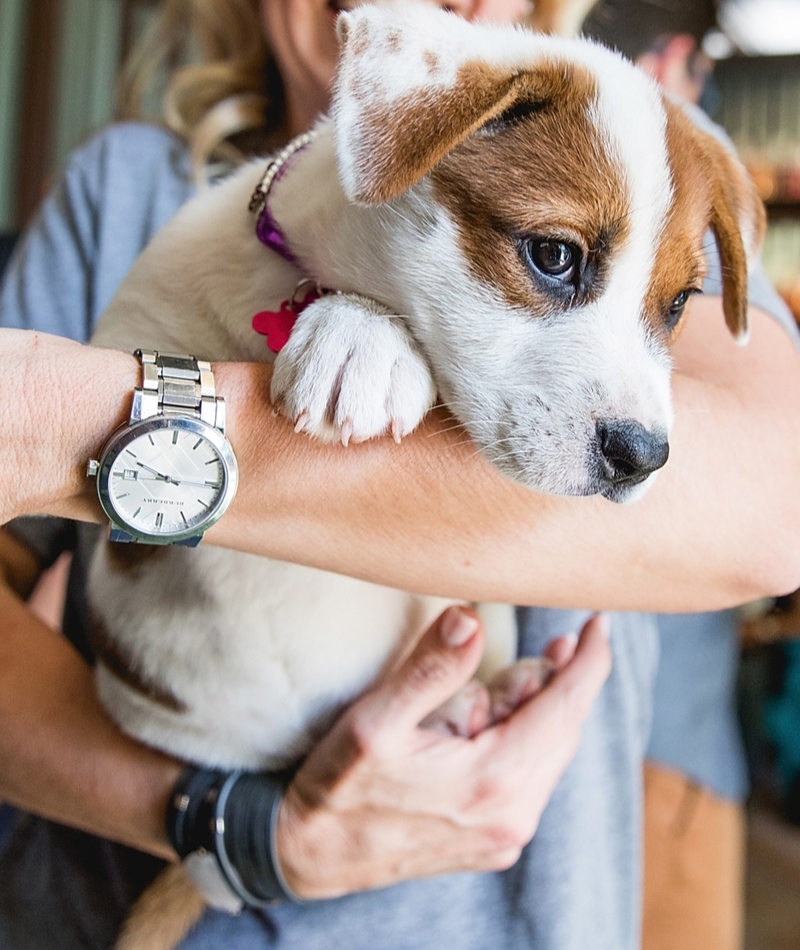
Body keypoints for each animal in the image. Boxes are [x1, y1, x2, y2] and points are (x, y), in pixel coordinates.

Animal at [86, 3, 764, 948]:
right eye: (554, 256)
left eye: (677, 308)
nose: (643, 456)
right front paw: (363, 334)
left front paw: (358, 332)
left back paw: (484, 695)